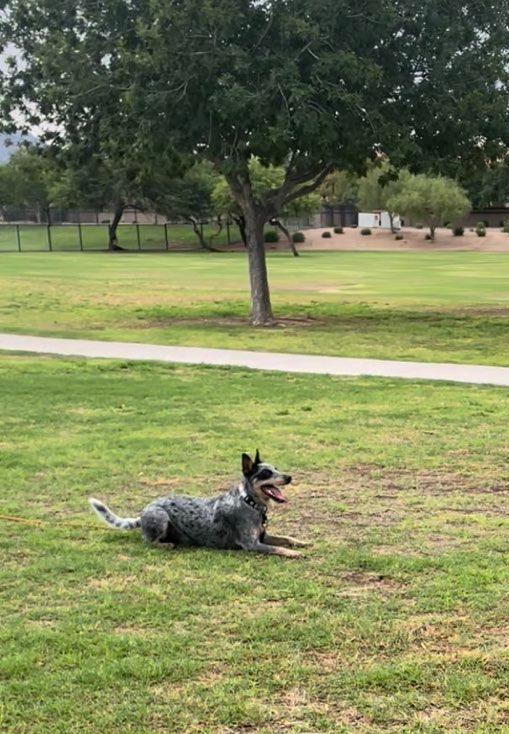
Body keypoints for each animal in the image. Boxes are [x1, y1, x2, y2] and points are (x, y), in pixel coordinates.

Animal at [88, 452, 310, 560]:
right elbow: (277, 548)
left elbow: (285, 538)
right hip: (161, 517)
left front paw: (300, 542)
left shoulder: (263, 536)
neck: (250, 502)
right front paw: (293, 553)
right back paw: (166, 544)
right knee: (148, 542)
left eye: (276, 468)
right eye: (265, 473)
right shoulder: (252, 544)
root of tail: (142, 513)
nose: (289, 477)